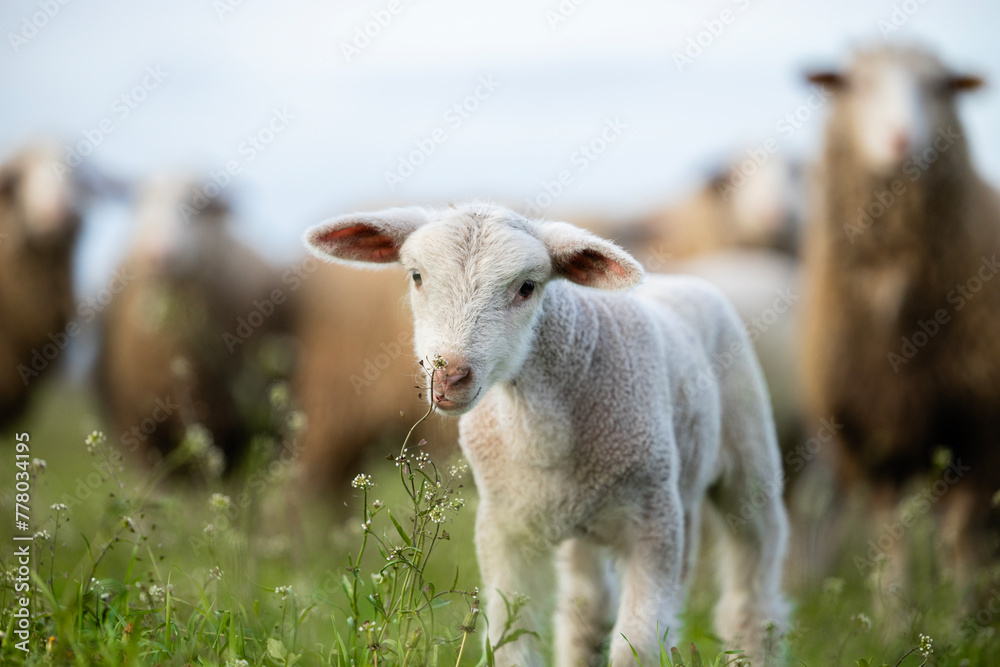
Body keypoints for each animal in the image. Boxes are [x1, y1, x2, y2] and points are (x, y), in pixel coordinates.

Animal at [305, 202, 789, 666]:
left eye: (527, 287)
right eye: (417, 276)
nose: (449, 377)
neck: (542, 430)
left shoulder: (656, 525)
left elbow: (637, 648)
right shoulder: (504, 528)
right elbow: (509, 643)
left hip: (748, 453)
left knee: (753, 591)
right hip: (582, 522)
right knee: (585, 608)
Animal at [800, 45, 1000, 598]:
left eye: (938, 87)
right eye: (857, 84)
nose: (900, 139)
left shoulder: (979, 429)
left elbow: (960, 537)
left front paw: (962, 616)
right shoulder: (873, 435)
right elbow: (892, 543)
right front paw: (894, 614)